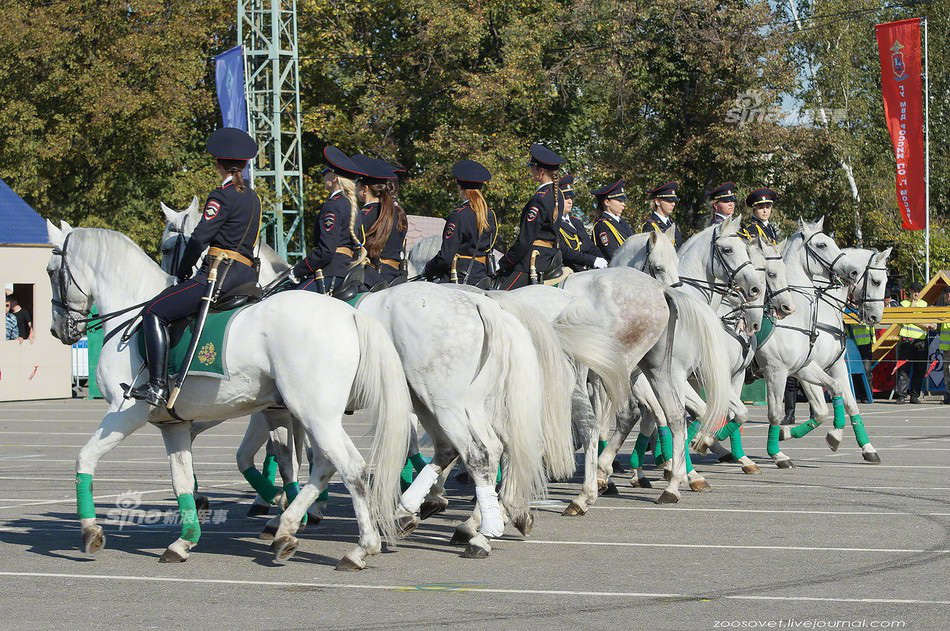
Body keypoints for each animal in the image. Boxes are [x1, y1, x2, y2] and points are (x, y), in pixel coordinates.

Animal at [47, 221, 412, 568]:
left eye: (51, 271)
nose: (58, 329)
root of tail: (350, 313)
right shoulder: (175, 424)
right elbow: (181, 480)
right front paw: (184, 540)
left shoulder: (125, 414)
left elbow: (85, 458)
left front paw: (90, 531)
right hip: (317, 416)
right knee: (327, 465)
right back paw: (289, 529)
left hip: (315, 415)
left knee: (351, 468)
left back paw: (361, 547)